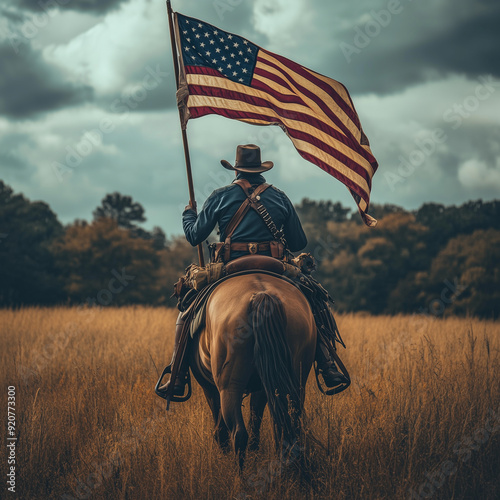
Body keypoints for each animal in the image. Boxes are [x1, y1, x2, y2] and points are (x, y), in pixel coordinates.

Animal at [189, 272, 314, 466]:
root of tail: (262, 295)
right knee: (292, 427)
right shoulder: (264, 385)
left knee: (238, 433)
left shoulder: (208, 386)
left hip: (229, 388)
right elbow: (256, 418)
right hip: (296, 382)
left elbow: (221, 426)